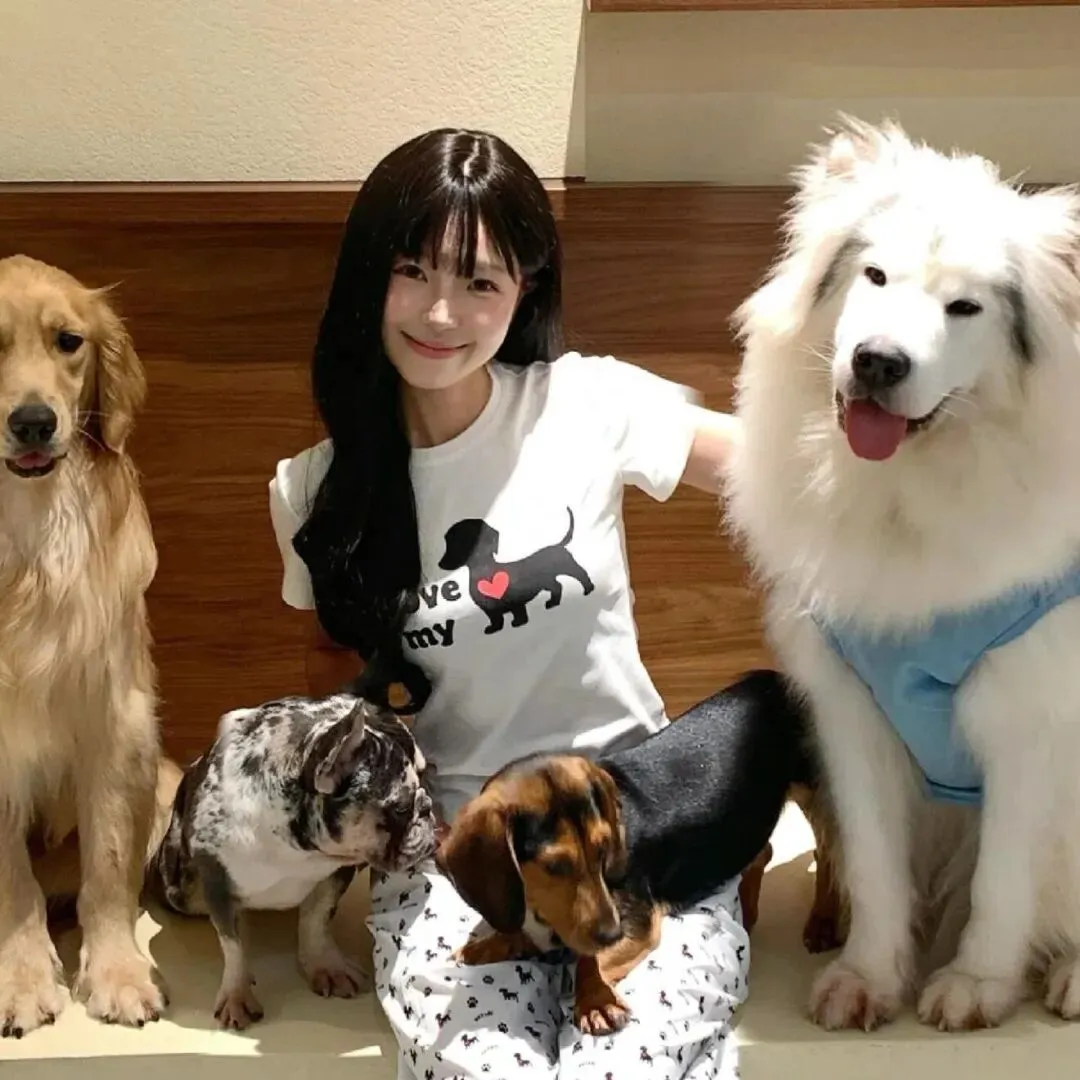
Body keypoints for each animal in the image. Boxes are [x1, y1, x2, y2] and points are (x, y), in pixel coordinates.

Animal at [151, 691, 438, 1029]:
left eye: (427, 777)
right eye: (401, 808)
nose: (427, 807)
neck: (300, 848)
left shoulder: (338, 872)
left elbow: (316, 918)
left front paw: (326, 965)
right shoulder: (216, 883)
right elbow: (233, 946)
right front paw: (236, 994)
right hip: (181, 891)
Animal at [436, 669, 815, 1034]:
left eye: (603, 850)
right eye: (554, 865)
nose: (612, 935)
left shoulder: (638, 925)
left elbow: (590, 960)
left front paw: (595, 1001)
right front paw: (487, 945)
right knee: (763, 852)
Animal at [438, 510, 594, 633]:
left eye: (456, 544)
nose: (440, 564)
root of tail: (558, 545)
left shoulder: (516, 601)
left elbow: (518, 612)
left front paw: (518, 623)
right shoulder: (490, 610)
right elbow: (496, 619)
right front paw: (494, 629)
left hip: (568, 567)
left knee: (581, 574)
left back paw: (588, 589)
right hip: (547, 581)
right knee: (557, 586)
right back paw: (552, 603)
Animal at [725, 115, 1080, 1033]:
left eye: (966, 308)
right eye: (874, 274)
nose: (878, 361)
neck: (904, 498)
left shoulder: (1025, 722)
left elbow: (1002, 880)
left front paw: (976, 987)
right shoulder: (854, 715)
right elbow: (874, 867)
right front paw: (868, 978)